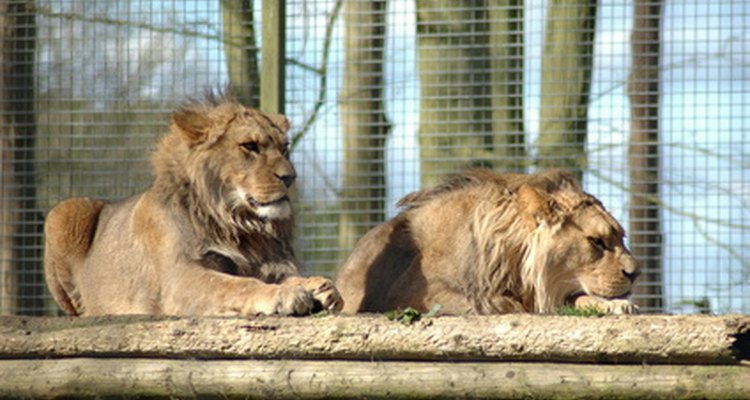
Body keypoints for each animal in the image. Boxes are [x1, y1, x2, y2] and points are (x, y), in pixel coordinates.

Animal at [44, 92, 344, 318]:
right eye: (249, 146)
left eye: (285, 147)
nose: (290, 177)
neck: (239, 223)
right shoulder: (181, 277)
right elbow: (235, 286)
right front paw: (283, 294)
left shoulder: (272, 266)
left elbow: (282, 277)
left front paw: (321, 287)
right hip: (63, 213)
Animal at [338, 169, 644, 316]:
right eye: (596, 241)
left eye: (621, 237)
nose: (636, 274)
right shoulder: (410, 293)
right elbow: (492, 304)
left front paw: (617, 306)